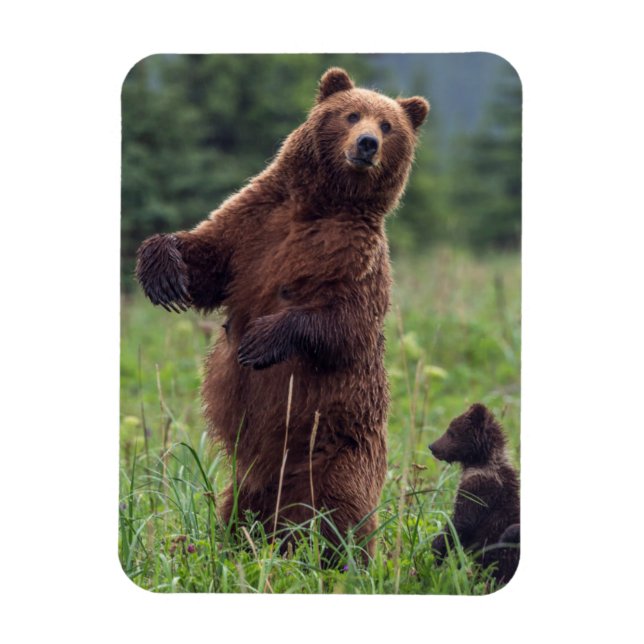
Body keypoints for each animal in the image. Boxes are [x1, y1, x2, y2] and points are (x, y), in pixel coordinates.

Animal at [135, 67, 429, 560]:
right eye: (352, 114)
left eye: (389, 126)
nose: (367, 143)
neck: (323, 204)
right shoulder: (256, 223)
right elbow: (209, 257)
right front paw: (163, 270)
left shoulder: (357, 258)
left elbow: (347, 323)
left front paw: (261, 341)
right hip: (249, 482)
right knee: (237, 512)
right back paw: (230, 546)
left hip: (340, 453)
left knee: (342, 513)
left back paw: (340, 557)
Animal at [428, 403, 520, 585]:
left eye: (451, 432)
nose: (432, 446)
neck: (481, 462)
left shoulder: (479, 489)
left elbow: (460, 522)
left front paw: (436, 550)